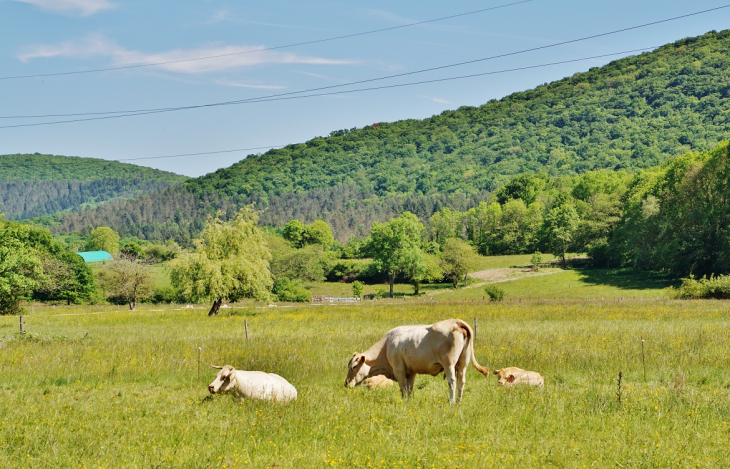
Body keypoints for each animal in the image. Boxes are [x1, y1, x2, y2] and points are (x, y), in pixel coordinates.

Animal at [342, 318, 490, 402]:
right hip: (463, 363)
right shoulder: (411, 372)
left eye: (353, 366)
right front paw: (409, 402)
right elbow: (409, 388)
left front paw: (403, 402)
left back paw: (452, 401)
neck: (386, 346)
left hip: (449, 364)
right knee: (461, 381)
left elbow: (403, 387)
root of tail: (455, 322)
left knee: (452, 381)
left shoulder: (399, 369)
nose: (346, 383)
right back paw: (459, 401)